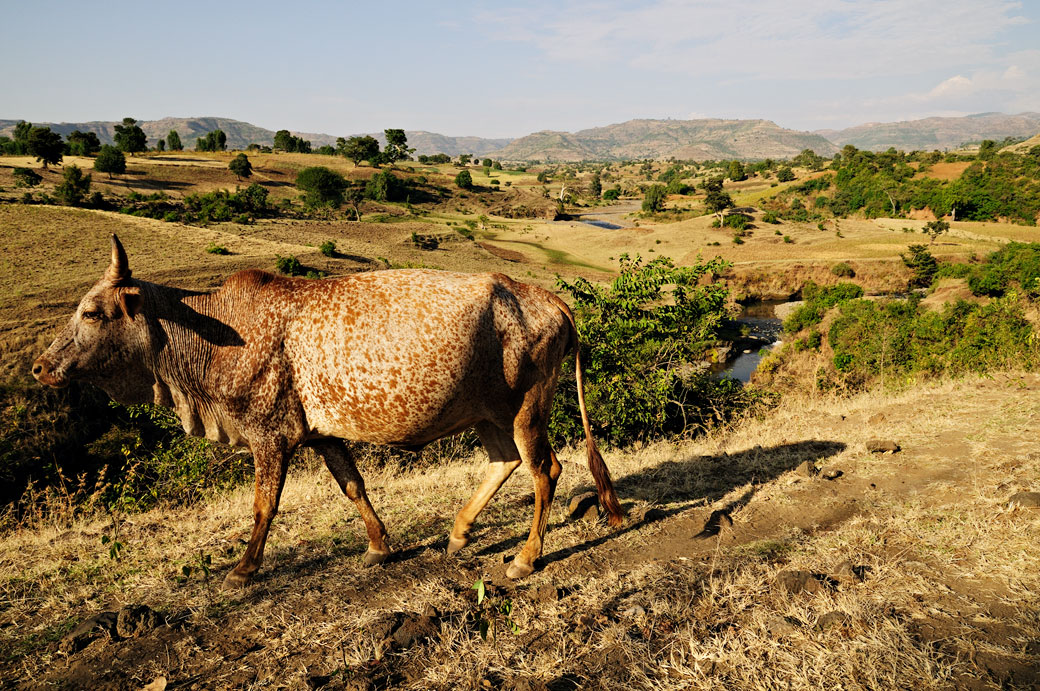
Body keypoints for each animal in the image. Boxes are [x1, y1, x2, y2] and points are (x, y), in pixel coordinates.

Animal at [32, 235, 619, 586]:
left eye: (92, 312)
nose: (41, 367)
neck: (215, 331)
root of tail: (550, 299)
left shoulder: (268, 436)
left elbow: (264, 508)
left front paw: (243, 569)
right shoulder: (321, 434)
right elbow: (353, 486)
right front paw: (380, 547)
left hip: (526, 410)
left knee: (545, 470)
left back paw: (525, 557)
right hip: (486, 415)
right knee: (505, 462)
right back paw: (458, 532)